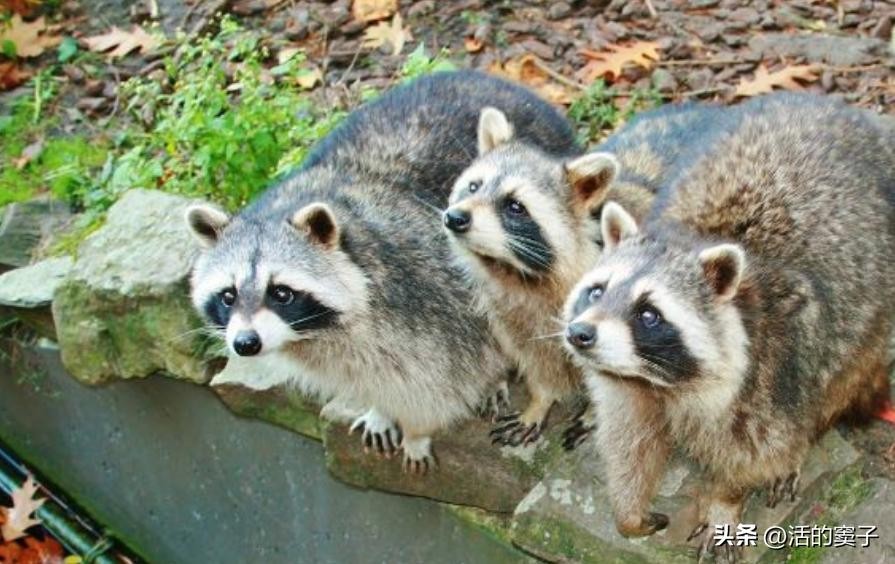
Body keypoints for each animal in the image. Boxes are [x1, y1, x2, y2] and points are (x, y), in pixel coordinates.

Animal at [185, 70, 578, 471]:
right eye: (228, 295)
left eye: (281, 292)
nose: (245, 343)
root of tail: (494, 77)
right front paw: (380, 409)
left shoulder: (427, 292)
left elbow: (441, 383)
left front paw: (417, 431)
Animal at [443, 102, 732, 446]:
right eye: (473, 186)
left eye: (514, 206)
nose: (455, 217)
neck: (519, 273)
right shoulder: (513, 315)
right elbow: (538, 361)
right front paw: (539, 401)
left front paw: (595, 412)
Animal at [563, 93, 895, 561]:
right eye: (596, 291)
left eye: (649, 314)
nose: (581, 335)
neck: (658, 378)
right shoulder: (631, 388)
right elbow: (631, 442)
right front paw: (630, 512)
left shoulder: (773, 371)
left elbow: (753, 455)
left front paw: (725, 500)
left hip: (867, 320)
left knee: (836, 382)